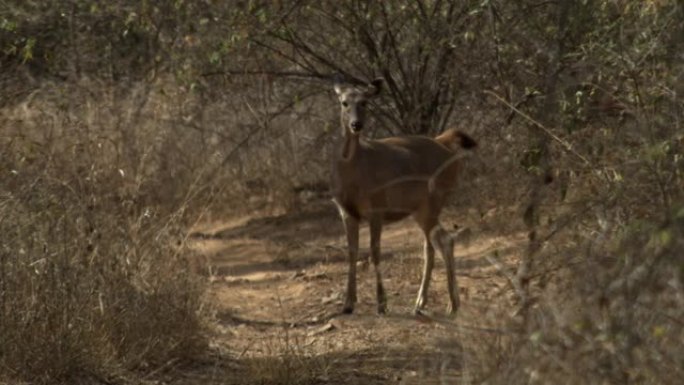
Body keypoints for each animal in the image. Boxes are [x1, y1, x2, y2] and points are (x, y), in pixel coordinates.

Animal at [332, 77, 476, 316]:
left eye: (364, 102)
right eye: (344, 102)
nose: (356, 125)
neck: (355, 172)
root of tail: (445, 145)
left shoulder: (377, 209)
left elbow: (374, 253)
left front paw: (382, 304)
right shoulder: (346, 212)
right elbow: (352, 253)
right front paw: (348, 304)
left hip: (433, 202)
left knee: (445, 241)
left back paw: (452, 304)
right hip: (422, 210)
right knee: (431, 246)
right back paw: (422, 303)